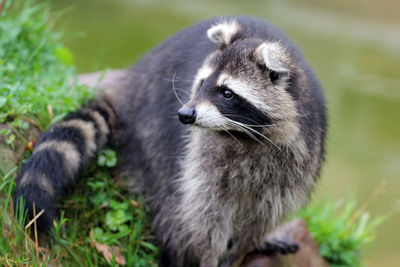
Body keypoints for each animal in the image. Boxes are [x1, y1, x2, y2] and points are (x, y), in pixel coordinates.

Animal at [14, 15, 326, 266]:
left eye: (226, 93)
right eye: (201, 83)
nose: (185, 114)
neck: (243, 135)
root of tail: (133, 82)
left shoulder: (297, 156)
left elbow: (263, 216)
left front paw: (242, 248)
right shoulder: (203, 153)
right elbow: (205, 212)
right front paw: (209, 257)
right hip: (152, 132)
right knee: (174, 207)